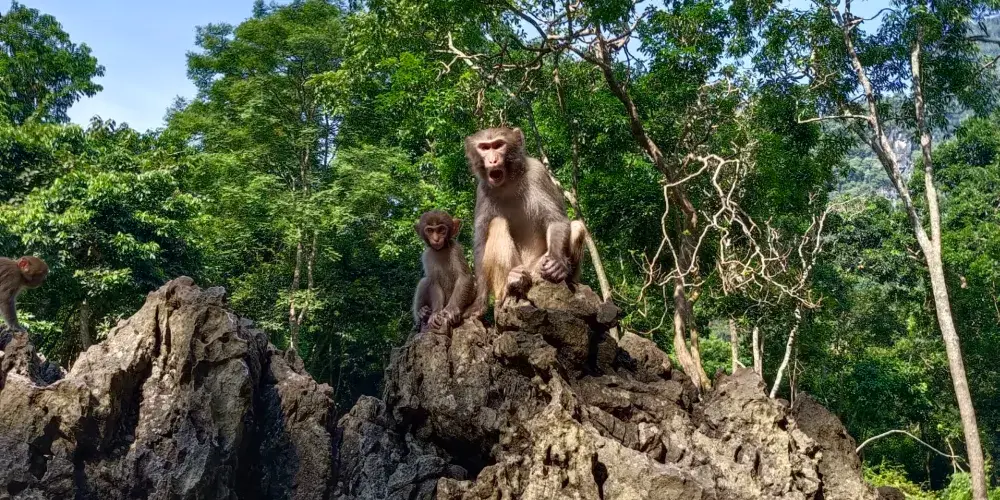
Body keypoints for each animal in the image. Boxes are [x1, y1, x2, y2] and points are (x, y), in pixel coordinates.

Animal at [465, 126, 587, 318]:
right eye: (484, 147)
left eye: (498, 145)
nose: (492, 160)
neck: (508, 182)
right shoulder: (482, 191)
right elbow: (481, 244)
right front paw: (480, 302)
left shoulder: (538, 172)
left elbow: (556, 219)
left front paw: (558, 263)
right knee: (497, 223)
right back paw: (512, 281)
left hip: (537, 268)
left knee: (576, 226)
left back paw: (567, 276)